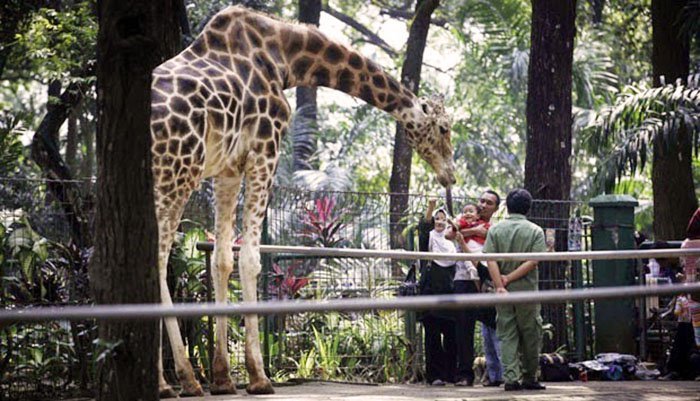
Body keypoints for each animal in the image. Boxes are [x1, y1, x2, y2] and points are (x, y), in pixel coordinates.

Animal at [150, 4, 456, 396]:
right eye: (444, 128)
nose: (450, 175)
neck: (285, 58)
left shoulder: (228, 169)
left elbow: (221, 261)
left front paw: (222, 377)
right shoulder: (265, 148)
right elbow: (250, 259)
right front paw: (258, 376)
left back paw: (176, 380)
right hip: (176, 173)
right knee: (156, 258)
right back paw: (175, 380)